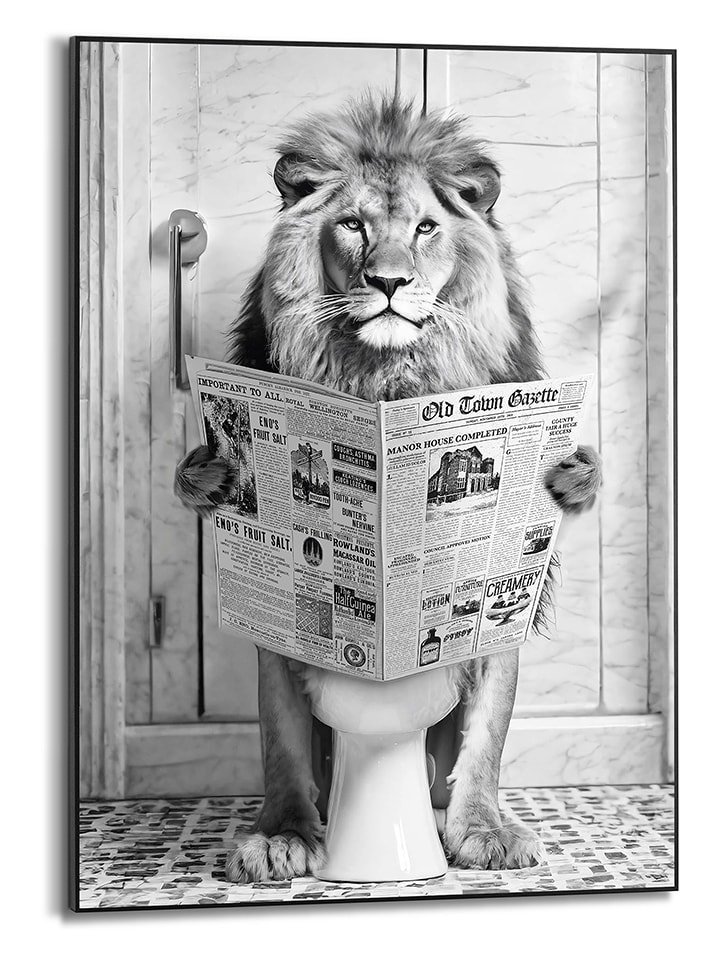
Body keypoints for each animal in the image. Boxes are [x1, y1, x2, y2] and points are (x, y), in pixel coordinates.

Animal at [175, 96, 601, 881]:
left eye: (426, 228)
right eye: (353, 224)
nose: (390, 283)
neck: (383, 379)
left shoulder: (502, 606)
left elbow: (488, 736)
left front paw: (485, 829)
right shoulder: (280, 636)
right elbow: (280, 740)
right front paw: (284, 836)